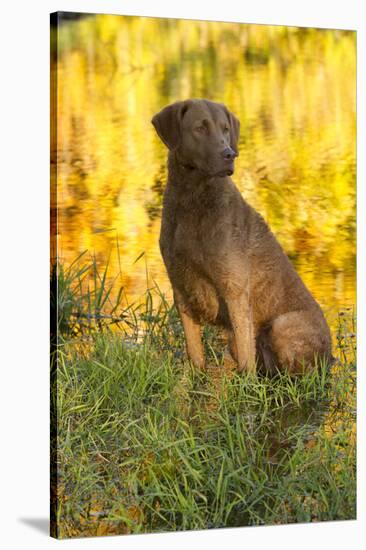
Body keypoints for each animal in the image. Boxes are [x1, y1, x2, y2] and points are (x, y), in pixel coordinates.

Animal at [151, 99, 332, 376]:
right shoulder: (181, 288)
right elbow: (195, 353)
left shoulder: (234, 290)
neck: (192, 200)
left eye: (225, 129)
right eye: (200, 128)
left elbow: (246, 358)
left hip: (282, 324)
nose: (229, 154)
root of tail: (332, 356)